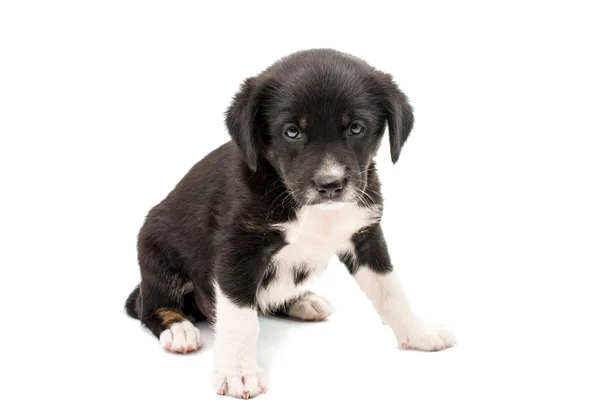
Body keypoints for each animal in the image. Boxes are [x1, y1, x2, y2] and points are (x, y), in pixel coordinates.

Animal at [126, 49, 454, 400]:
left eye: (356, 128)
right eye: (292, 131)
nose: (330, 185)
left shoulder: (365, 233)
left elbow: (390, 289)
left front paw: (418, 331)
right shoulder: (238, 249)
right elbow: (239, 316)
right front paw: (238, 371)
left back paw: (301, 300)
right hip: (155, 251)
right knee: (147, 305)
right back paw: (179, 328)